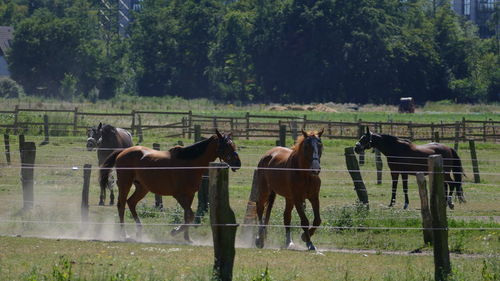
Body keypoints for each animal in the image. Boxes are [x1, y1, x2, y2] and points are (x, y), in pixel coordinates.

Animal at [99, 129, 240, 241]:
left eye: (233, 144)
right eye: (226, 145)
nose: (238, 163)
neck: (189, 163)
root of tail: (123, 151)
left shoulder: (190, 195)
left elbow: (187, 216)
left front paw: (187, 238)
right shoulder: (179, 195)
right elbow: (190, 215)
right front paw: (175, 231)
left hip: (142, 188)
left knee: (131, 202)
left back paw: (139, 231)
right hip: (125, 184)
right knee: (121, 205)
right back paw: (125, 235)